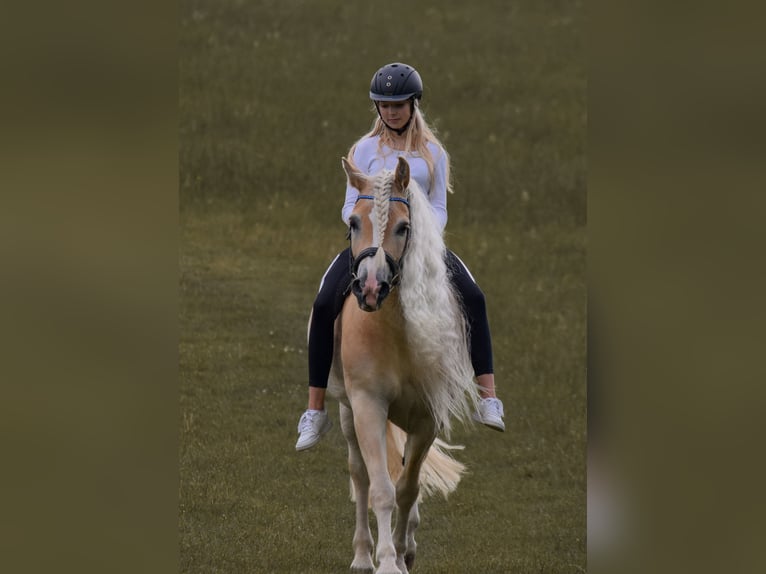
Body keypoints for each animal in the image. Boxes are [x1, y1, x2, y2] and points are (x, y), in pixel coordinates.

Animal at [328, 158, 484, 574]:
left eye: (403, 227)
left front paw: (401, 554)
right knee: (360, 474)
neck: (394, 328)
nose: (369, 289)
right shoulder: (367, 405)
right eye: (353, 222)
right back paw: (362, 556)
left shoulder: (428, 415)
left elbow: (408, 488)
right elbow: (382, 489)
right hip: (348, 411)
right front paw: (385, 561)